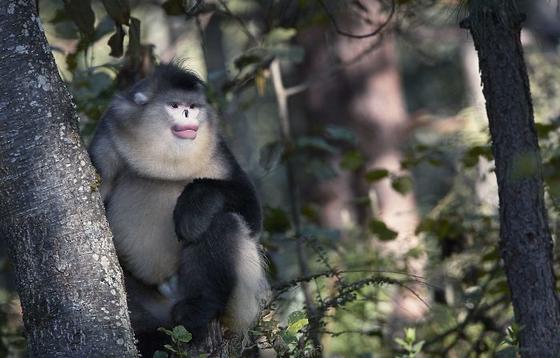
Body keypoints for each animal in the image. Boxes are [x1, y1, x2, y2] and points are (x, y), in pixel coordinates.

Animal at [87, 64, 270, 356]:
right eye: (175, 105)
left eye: (192, 106)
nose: (187, 114)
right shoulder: (108, 137)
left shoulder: (218, 149)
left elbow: (253, 215)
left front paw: (193, 205)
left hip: (239, 306)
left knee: (223, 223)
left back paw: (198, 308)